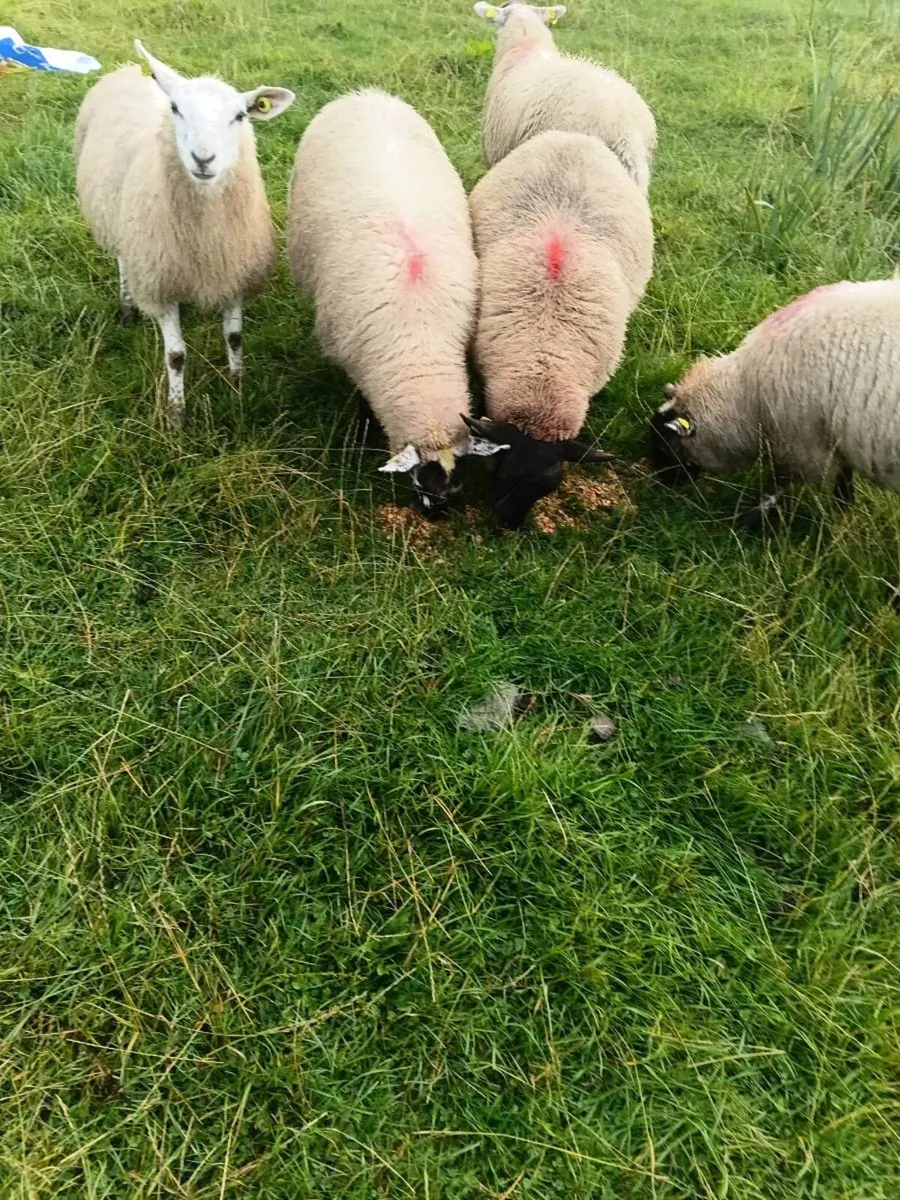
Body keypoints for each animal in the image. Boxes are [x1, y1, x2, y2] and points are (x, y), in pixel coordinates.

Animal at [75, 41, 294, 426]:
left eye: (240, 116)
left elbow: (235, 337)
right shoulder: (159, 281)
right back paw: (128, 307)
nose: (203, 159)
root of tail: (129, 69)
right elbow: (176, 355)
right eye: (176, 109)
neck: (206, 238)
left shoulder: (234, 272)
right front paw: (177, 416)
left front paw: (237, 389)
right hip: (124, 228)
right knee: (122, 261)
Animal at [287, 89, 506, 514]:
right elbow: (362, 402)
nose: (436, 516)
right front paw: (360, 434)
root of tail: (367, 93)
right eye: (419, 477)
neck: (419, 348)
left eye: (460, 479)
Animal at [650, 279, 900, 526]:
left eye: (665, 446)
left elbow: (774, 488)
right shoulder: (832, 434)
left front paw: (746, 523)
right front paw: (843, 508)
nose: (660, 484)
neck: (746, 392)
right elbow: (843, 477)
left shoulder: (801, 442)